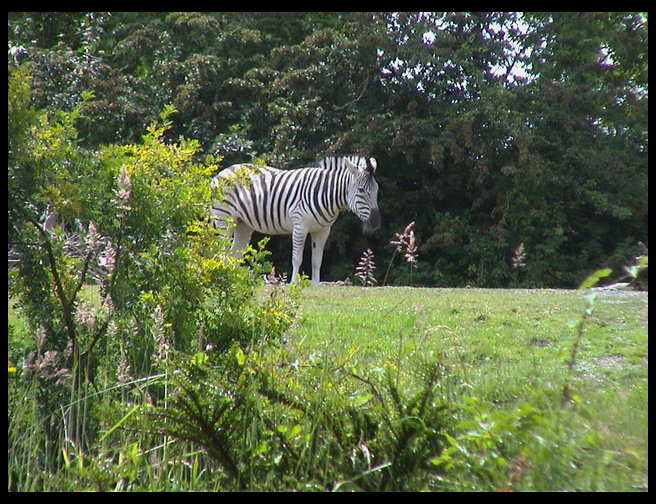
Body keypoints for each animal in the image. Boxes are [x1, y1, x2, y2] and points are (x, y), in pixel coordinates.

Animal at [210, 155, 380, 285]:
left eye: (377, 190)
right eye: (361, 190)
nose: (376, 222)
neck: (324, 193)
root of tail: (222, 172)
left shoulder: (323, 230)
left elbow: (317, 259)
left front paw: (316, 284)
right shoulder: (300, 227)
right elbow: (297, 258)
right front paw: (293, 283)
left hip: (242, 224)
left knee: (234, 254)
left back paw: (234, 278)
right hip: (223, 220)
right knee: (222, 251)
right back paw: (223, 275)